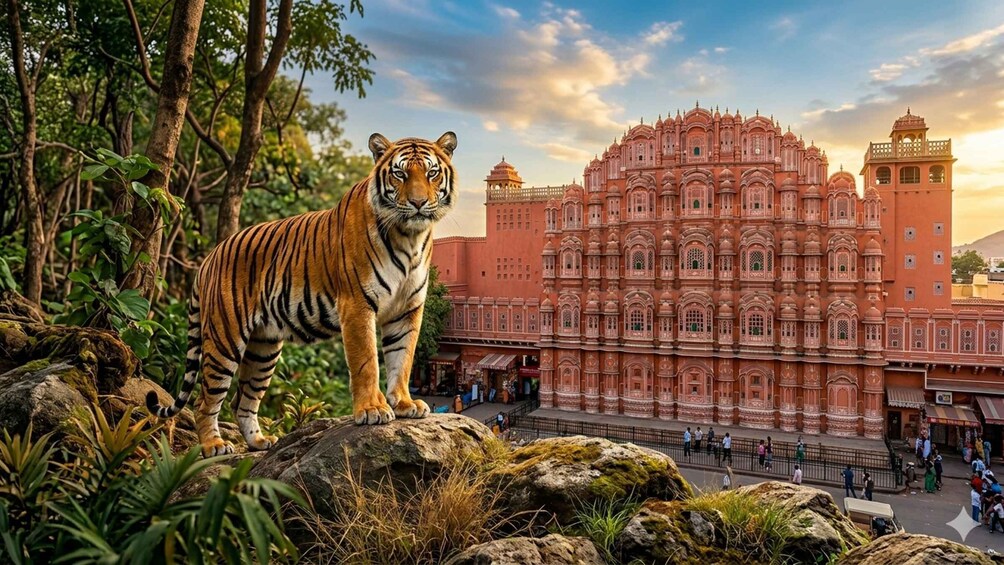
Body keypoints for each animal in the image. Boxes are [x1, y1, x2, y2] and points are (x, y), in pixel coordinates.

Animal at [148, 132, 458, 456]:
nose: (418, 203)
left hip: (264, 348)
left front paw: (404, 404)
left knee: (242, 399)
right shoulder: (357, 305)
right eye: (399, 174)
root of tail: (210, 256)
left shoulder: (407, 309)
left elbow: (402, 359)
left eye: (431, 173)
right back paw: (214, 445)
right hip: (225, 339)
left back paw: (259, 442)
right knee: (205, 399)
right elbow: (367, 363)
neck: (409, 237)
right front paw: (372, 410)